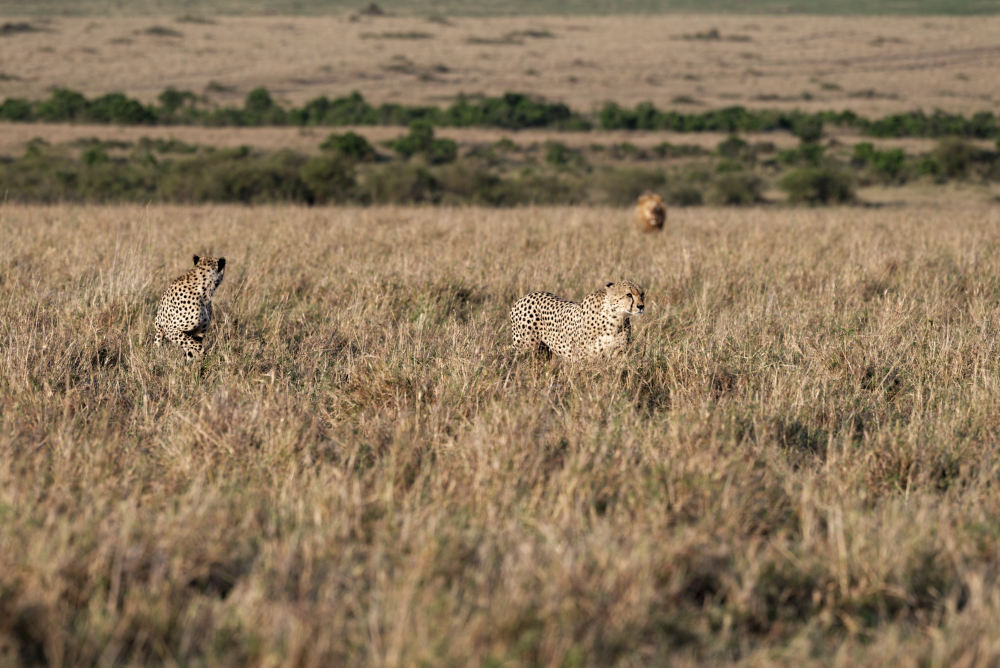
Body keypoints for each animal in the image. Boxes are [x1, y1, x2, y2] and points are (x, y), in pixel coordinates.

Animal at [512, 280, 644, 360]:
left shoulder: (618, 353)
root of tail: (525, 296)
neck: (615, 318)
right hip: (526, 348)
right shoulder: (585, 358)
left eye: (642, 294)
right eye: (629, 295)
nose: (641, 306)